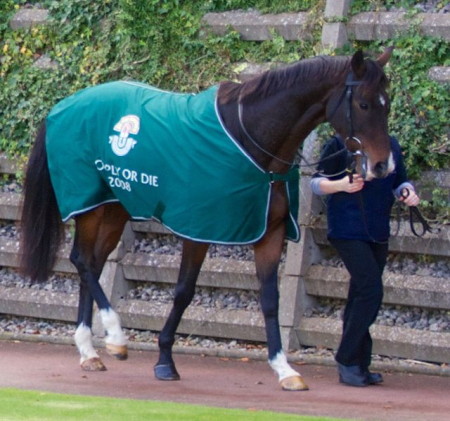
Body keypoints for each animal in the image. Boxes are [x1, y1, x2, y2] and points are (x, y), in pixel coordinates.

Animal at [19, 48, 392, 390]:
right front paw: (164, 360)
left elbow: (270, 301)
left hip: (114, 207)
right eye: (364, 104)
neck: (251, 142)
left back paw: (90, 352)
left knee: (92, 266)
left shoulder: (270, 233)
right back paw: (115, 337)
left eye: (387, 104)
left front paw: (284, 369)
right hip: (89, 207)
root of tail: (62, 106)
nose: (381, 166)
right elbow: (184, 292)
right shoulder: (198, 230)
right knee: (81, 260)